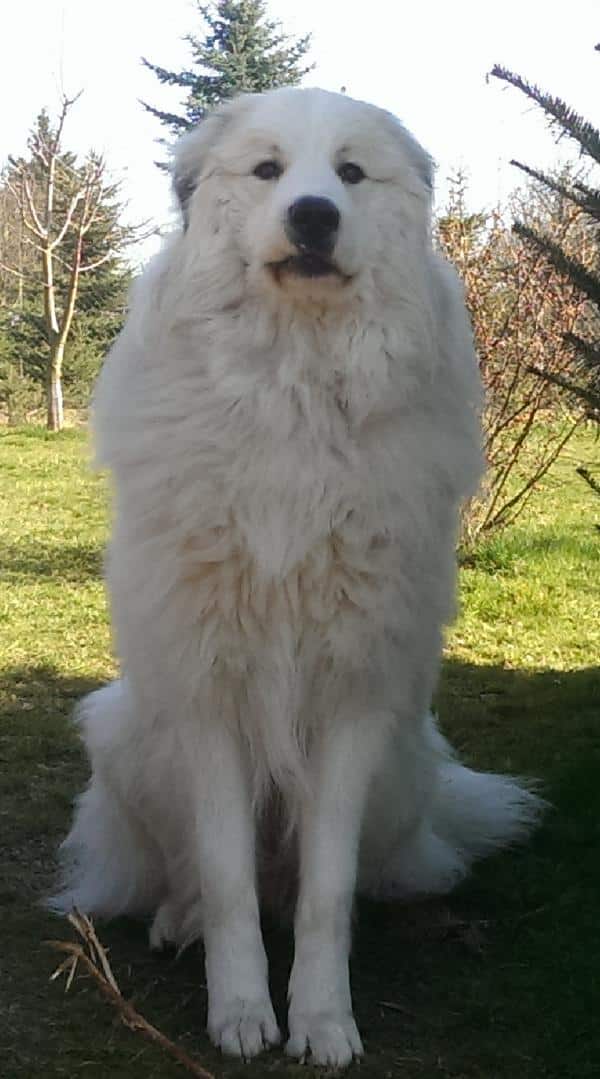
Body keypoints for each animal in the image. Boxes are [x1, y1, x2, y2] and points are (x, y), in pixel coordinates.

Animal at [52, 87, 543, 1068]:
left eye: (350, 173)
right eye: (269, 170)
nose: (314, 215)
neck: (295, 390)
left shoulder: (351, 697)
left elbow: (324, 895)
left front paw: (322, 1020)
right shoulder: (209, 692)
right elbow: (228, 881)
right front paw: (242, 1012)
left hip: (403, 761)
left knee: (335, 879)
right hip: (130, 737)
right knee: (208, 877)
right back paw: (177, 920)